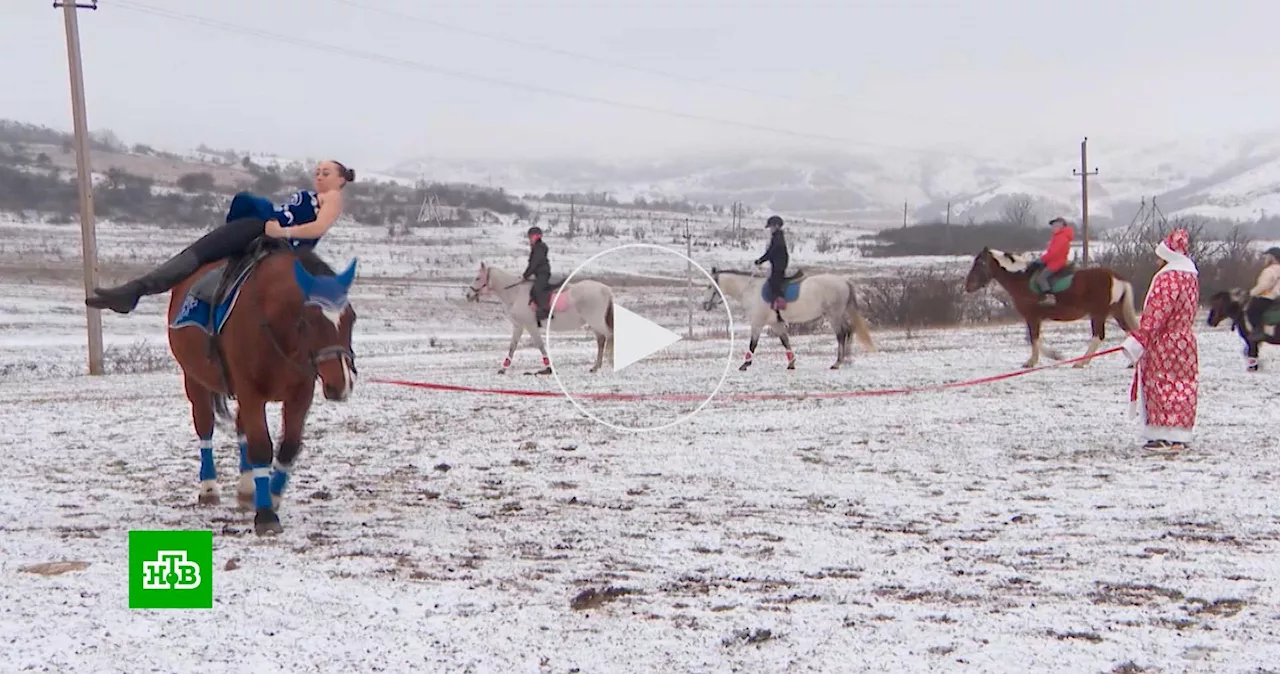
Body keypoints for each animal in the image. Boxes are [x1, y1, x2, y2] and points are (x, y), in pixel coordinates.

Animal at [166, 242, 355, 537]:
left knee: (241, 427)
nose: (341, 385)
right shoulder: (251, 392)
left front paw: (272, 498)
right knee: (205, 426)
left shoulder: (301, 394)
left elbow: (288, 447)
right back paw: (209, 488)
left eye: (352, 319)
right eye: (310, 320)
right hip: (194, 379)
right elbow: (261, 447)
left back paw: (246, 489)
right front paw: (265, 515)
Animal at [465, 260, 614, 373]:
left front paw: (548, 368)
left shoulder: (530, 325)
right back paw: (596, 367)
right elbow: (512, 346)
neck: (516, 293)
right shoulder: (519, 326)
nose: (468, 295)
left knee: (610, 336)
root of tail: (605, 289)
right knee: (601, 340)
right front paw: (503, 368)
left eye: (478, 278)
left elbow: (540, 345)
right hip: (594, 323)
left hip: (596, 321)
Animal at [706, 267, 875, 370]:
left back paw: (838, 362)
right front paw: (791, 363)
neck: (750, 290)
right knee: (849, 330)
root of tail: (844, 281)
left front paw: (745, 364)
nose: (705, 305)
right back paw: (848, 360)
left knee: (841, 334)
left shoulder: (758, 322)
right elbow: (785, 341)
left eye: (709, 286)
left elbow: (753, 343)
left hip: (833, 315)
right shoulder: (775, 323)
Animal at [962, 249, 1141, 368]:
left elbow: (1033, 338)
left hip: (1098, 313)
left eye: (980, 263)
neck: (1022, 280)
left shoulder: (1032, 316)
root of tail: (1116, 277)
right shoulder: (1034, 317)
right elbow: (1033, 338)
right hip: (1115, 312)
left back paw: (1082, 361)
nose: (968, 286)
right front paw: (1048, 357)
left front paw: (1040, 359)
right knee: (1132, 332)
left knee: (1099, 336)